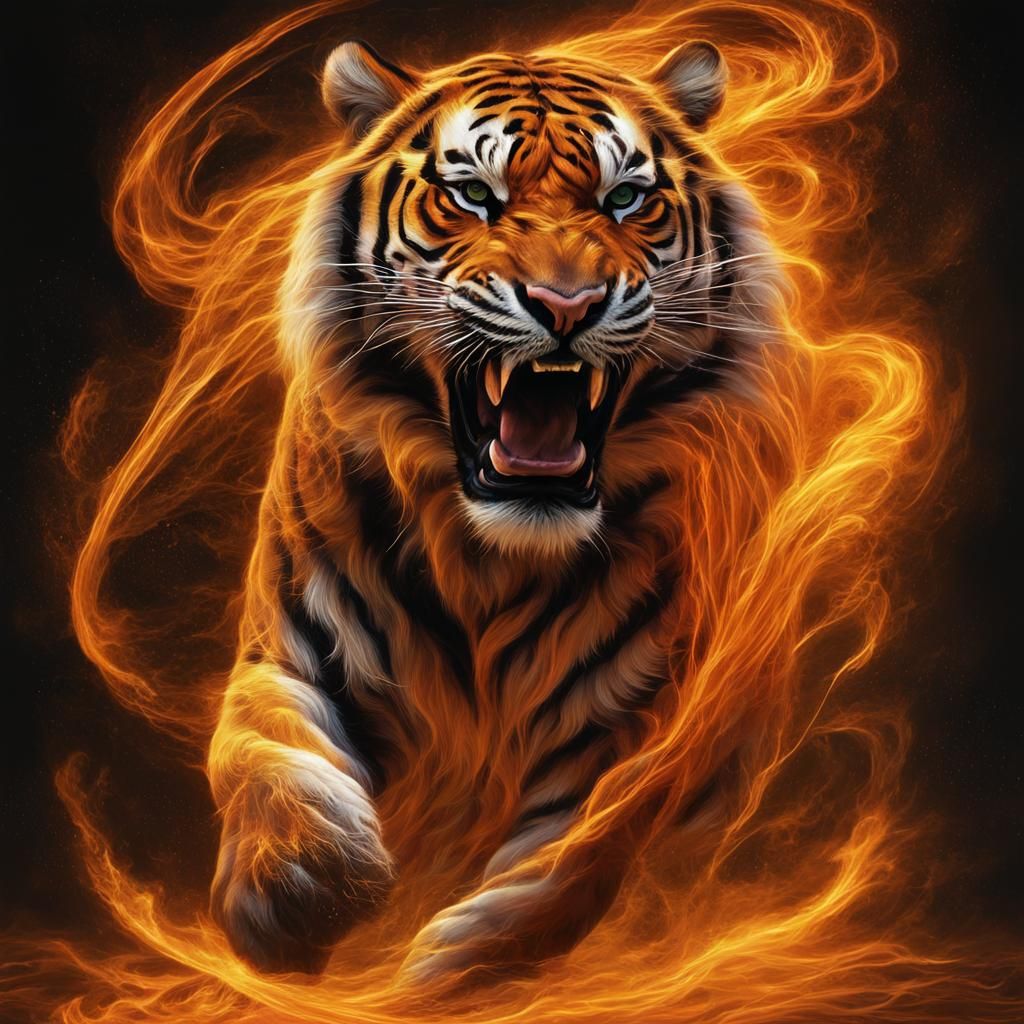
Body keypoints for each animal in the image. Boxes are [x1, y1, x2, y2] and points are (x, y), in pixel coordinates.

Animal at [207, 36, 779, 981]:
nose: (566, 306)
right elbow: (260, 746)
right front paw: (297, 884)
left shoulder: (635, 729)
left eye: (626, 199)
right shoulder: (286, 649)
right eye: (474, 194)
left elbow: (567, 866)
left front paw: (449, 963)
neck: (489, 557)